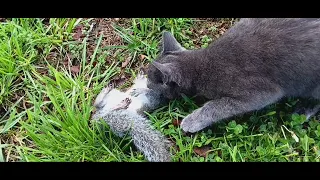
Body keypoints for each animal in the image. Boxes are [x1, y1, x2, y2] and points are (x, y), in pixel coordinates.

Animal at [146, 18, 320, 134]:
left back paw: (304, 109)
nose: (146, 84)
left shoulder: (260, 93)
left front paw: (192, 121)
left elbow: (216, 105)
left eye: (150, 79)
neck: (200, 66)